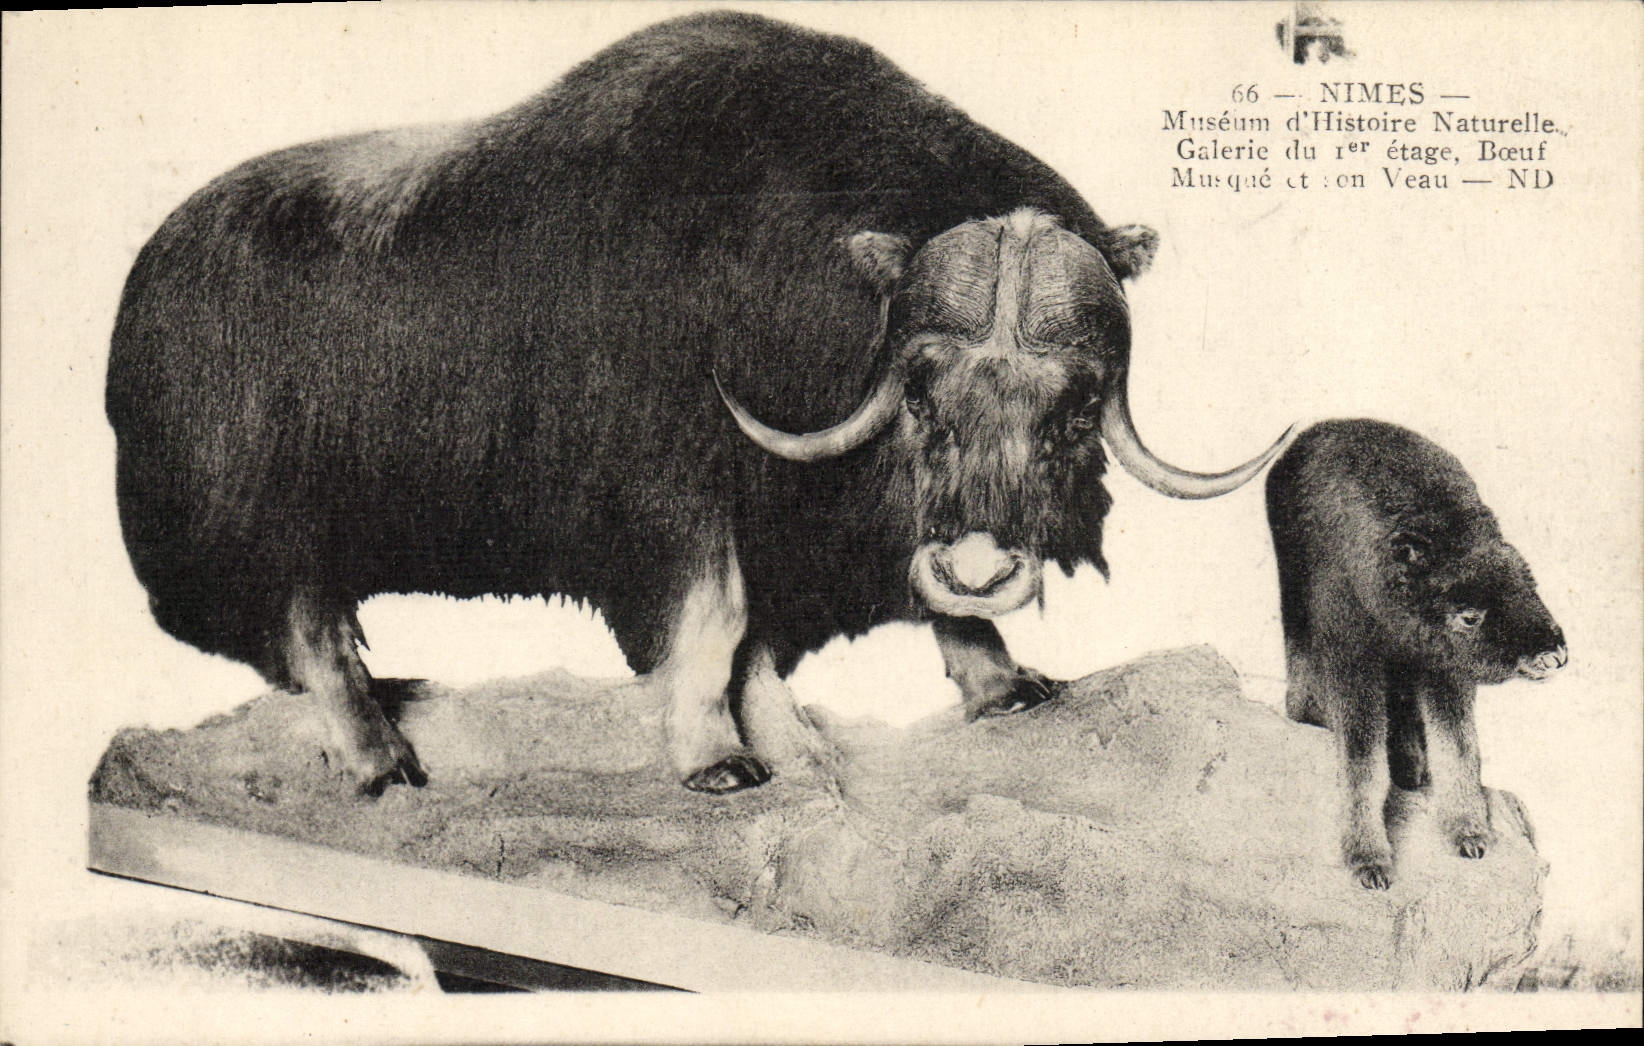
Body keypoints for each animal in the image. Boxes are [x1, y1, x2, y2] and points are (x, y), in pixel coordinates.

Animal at [107, 11, 1292, 797]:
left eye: (1079, 404)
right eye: (919, 390)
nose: (985, 566)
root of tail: (142, 287)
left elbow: (782, 632)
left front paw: (974, 697)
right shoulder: (676, 499)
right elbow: (719, 619)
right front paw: (722, 763)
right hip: (265, 518)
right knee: (307, 628)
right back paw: (386, 763)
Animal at [1265, 419, 1567, 889]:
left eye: (1529, 584)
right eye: (1469, 616)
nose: (1552, 655)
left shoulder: (1443, 670)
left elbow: (1457, 746)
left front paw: (1470, 835)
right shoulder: (1353, 662)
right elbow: (1362, 760)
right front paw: (1369, 862)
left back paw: (1411, 768)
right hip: (1296, 602)